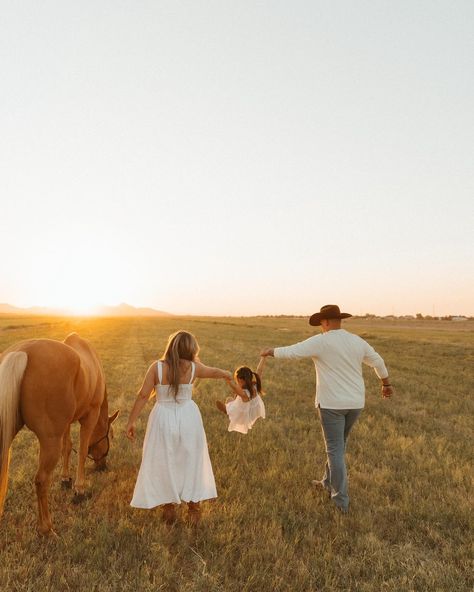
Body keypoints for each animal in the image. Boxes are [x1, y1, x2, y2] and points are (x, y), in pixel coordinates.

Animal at [0, 332, 118, 536]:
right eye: (108, 435)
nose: (102, 466)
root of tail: (22, 352)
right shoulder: (90, 416)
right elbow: (82, 449)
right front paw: (79, 488)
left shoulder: (67, 423)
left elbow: (68, 447)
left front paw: (65, 478)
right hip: (49, 441)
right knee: (41, 480)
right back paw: (46, 528)